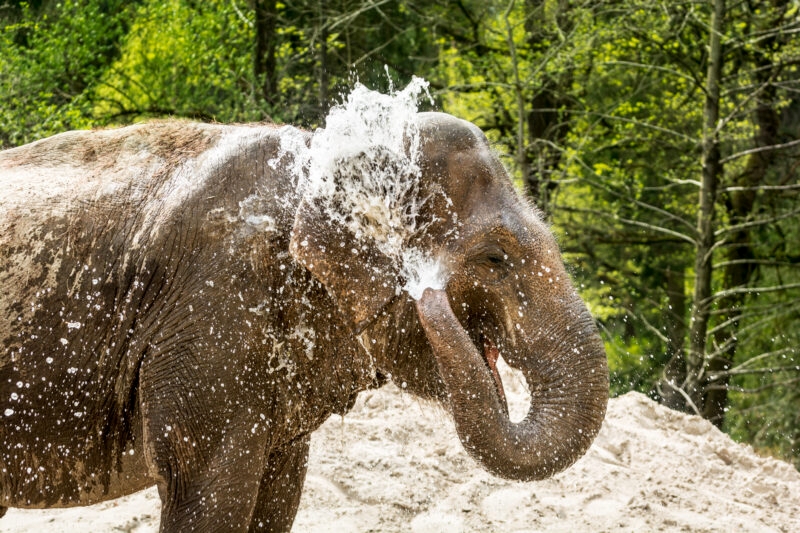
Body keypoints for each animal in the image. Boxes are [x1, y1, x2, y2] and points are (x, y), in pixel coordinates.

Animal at [0, 109, 608, 531]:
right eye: (495, 258)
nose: (429, 294)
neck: (318, 157)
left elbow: (278, 496)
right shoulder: (210, 316)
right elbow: (206, 489)